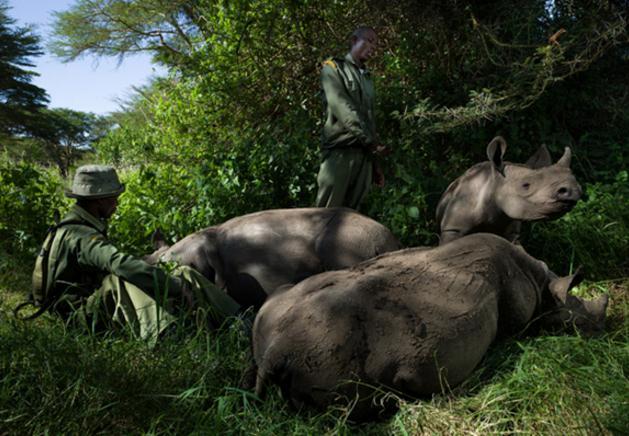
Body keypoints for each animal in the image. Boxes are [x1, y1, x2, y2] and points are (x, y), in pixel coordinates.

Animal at [251, 233, 608, 420]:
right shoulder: (518, 310)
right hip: (333, 351)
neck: (543, 284)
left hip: (274, 313)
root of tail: (276, 351)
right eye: (578, 318)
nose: (604, 328)